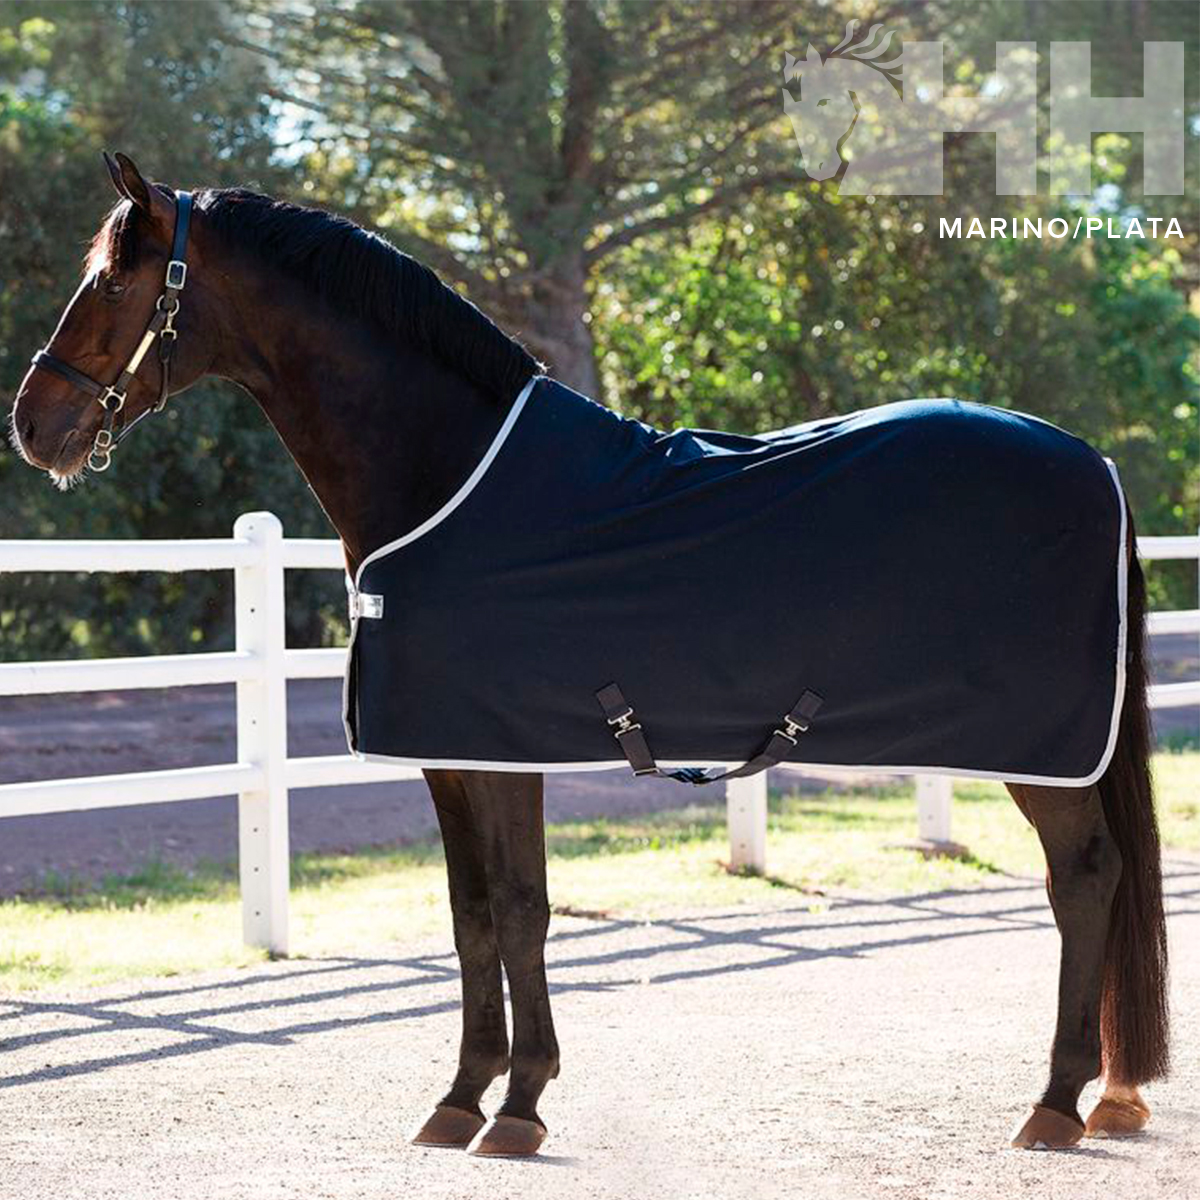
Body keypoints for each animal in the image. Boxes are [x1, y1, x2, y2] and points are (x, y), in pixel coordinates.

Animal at [9, 153, 1169, 1156]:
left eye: (113, 279)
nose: (32, 426)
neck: (447, 475)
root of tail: (1093, 461)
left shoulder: (504, 752)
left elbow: (523, 912)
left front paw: (519, 1107)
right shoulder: (453, 757)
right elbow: (473, 917)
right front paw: (462, 1099)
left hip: (1044, 754)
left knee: (1085, 880)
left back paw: (1055, 1103)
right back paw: (1104, 1097)